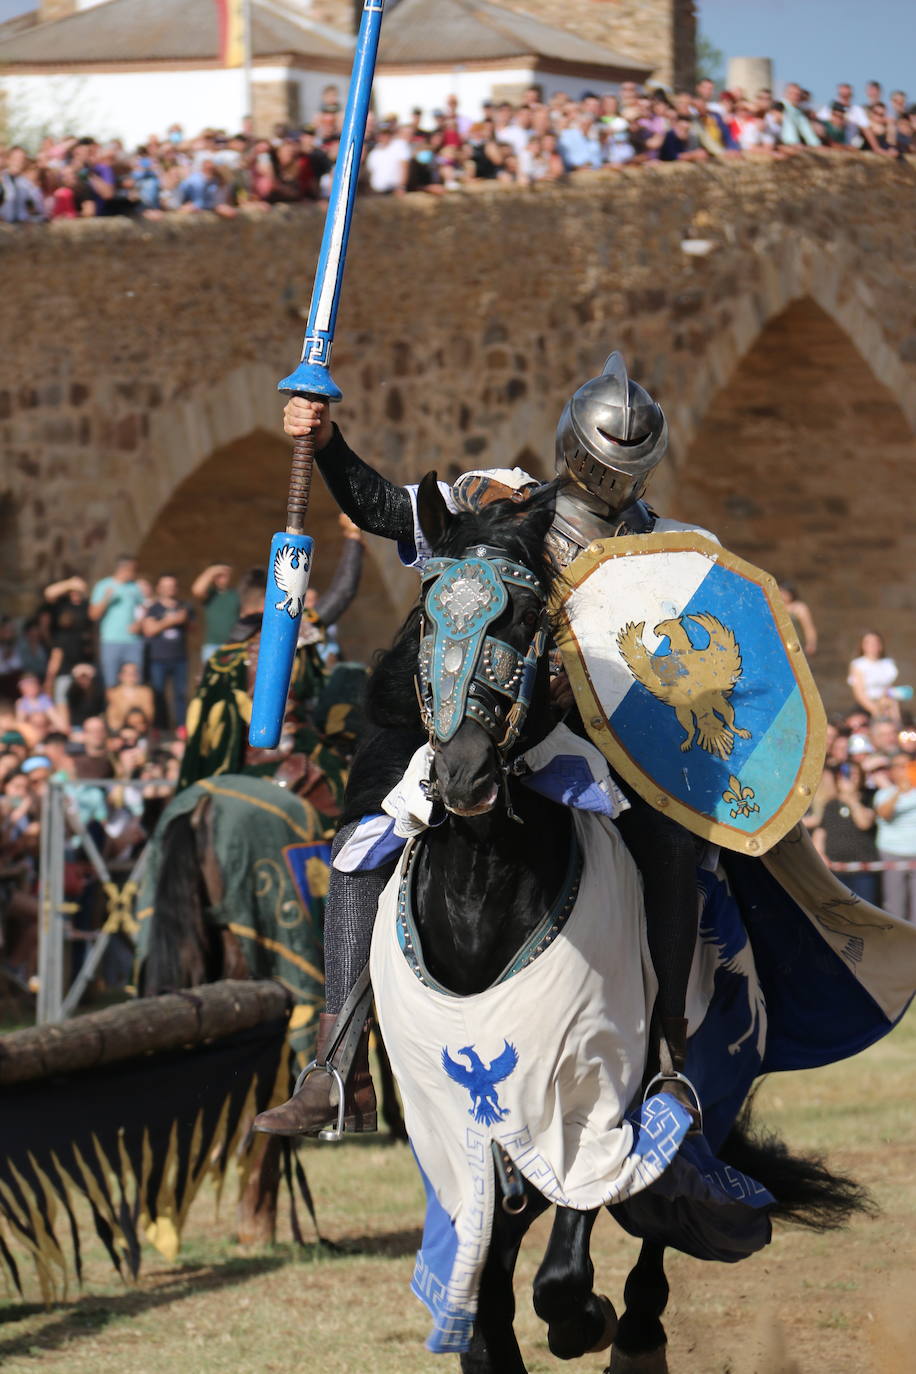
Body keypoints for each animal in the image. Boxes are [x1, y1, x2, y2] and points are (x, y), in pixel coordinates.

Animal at [362, 475, 867, 1374]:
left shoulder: (593, 1088)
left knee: (662, 1186)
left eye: (526, 619)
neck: (481, 895)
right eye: (428, 616)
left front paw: (584, 1318)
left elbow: (570, 1257)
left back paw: (635, 1330)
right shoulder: (459, 1127)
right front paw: (485, 1341)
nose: (464, 776)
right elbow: (486, 1272)